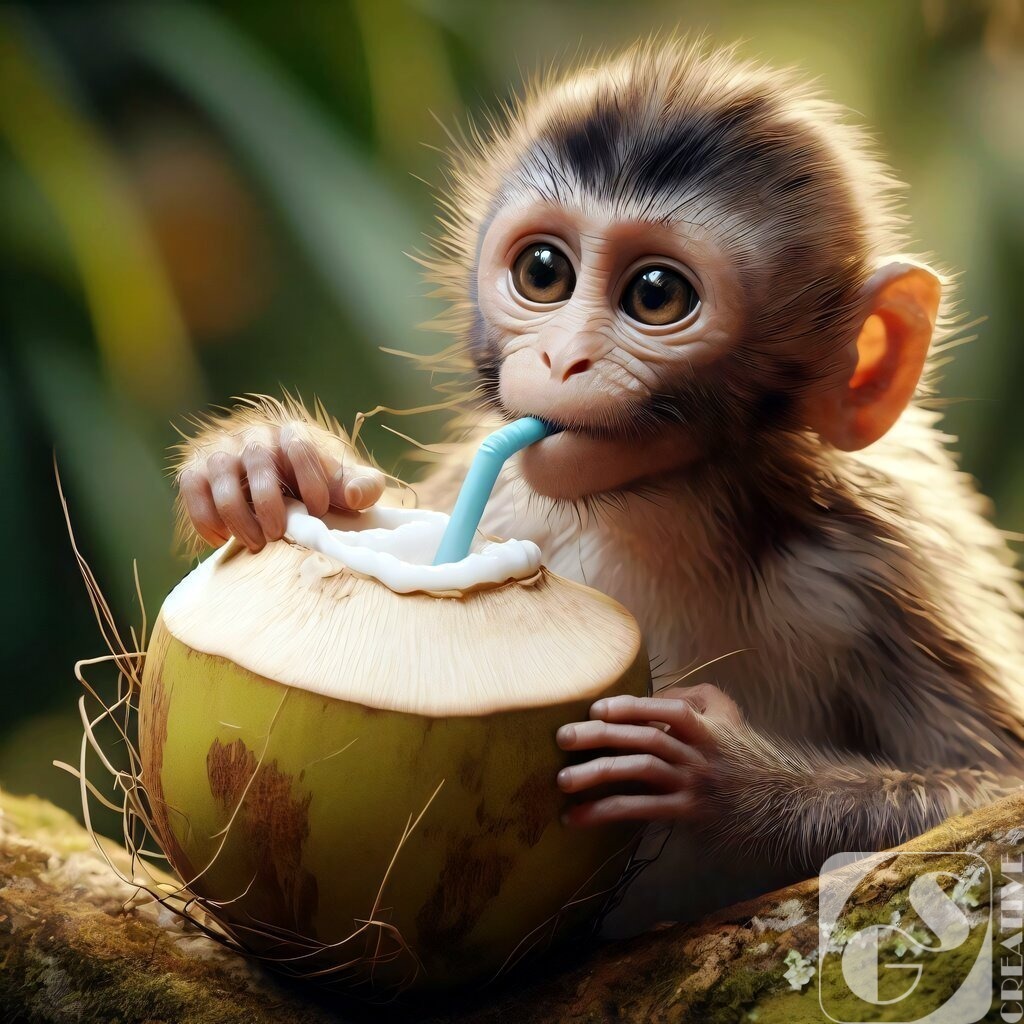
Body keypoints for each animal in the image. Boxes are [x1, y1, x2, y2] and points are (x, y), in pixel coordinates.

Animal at [172, 40, 1024, 936]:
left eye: (656, 294)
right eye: (544, 272)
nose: (562, 360)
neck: (662, 511)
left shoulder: (870, 566)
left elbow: (992, 789)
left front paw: (725, 777)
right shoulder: (506, 494)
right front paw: (258, 464)